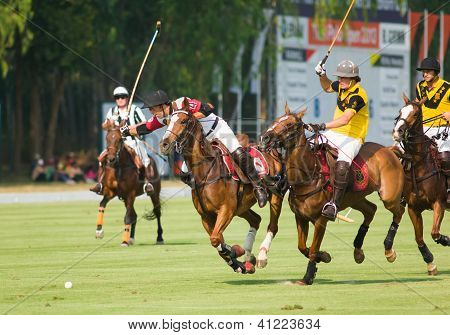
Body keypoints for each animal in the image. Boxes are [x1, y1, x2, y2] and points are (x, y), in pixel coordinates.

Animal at [159, 99, 284, 272]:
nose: (164, 144)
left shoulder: (226, 209)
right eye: (168, 121)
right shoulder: (206, 216)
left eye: (183, 121)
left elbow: (215, 239)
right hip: (241, 207)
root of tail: (271, 151)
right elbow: (218, 240)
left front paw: (235, 253)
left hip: (274, 197)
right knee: (256, 220)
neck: (206, 170)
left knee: (272, 226)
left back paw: (261, 257)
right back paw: (248, 259)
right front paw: (237, 259)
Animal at [258, 105, 406, 286]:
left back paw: (389, 250)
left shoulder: (321, 219)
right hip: (354, 198)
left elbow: (313, 248)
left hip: (389, 196)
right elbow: (302, 246)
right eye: (276, 119)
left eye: (289, 125)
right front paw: (324, 257)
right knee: (371, 209)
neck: (309, 175)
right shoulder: (301, 216)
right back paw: (358, 251)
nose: (265, 138)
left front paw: (307, 277)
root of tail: (388, 149)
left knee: (399, 211)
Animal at [392, 96, 448, 276]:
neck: (420, 165)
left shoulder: (439, 203)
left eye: (416, 114)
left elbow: (435, 232)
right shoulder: (413, 208)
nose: (397, 132)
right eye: (400, 111)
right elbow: (419, 238)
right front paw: (430, 264)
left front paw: (446, 240)